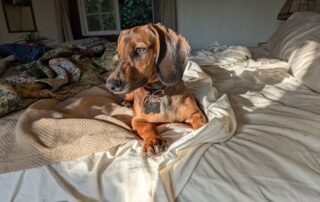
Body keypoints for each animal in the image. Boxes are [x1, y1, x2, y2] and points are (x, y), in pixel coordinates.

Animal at [107, 24, 208, 156]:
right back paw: (127, 102)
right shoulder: (137, 120)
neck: (158, 92)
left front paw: (203, 133)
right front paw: (153, 140)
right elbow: (148, 127)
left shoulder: (195, 113)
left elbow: (201, 125)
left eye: (139, 50)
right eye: (118, 55)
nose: (110, 85)